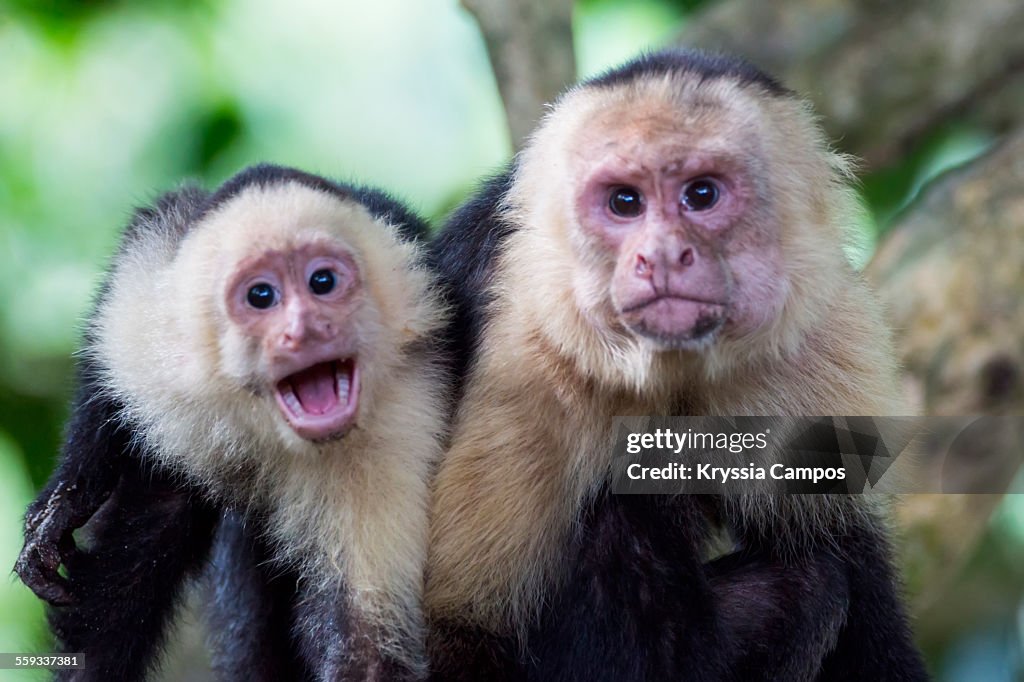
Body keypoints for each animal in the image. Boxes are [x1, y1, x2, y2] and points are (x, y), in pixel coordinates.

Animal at [14, 164, 448, 679]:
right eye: (261, 295)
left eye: (322, 282)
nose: (304, 329)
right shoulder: (160, 323)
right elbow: (108, 356)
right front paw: (66, 501)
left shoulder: (399, 421)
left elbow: (365, 644)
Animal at [423, 51, 929, 679]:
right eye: (624, 202)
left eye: (701, 194)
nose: (662, 254)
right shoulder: (524, 352)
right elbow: (455, 631)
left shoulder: (825, 344)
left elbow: (852, 560)